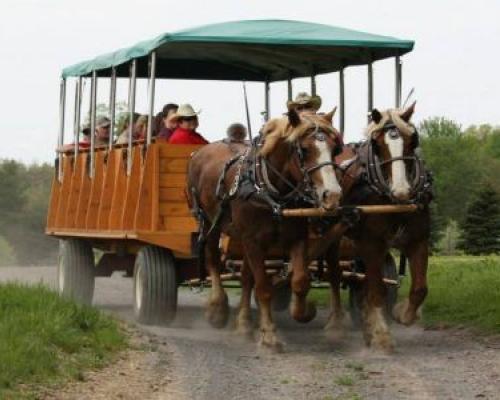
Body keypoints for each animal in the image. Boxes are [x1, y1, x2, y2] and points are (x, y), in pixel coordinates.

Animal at [188, 107, 344, 350]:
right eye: (304, 150)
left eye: (335, 148)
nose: (333, 195)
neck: (270, 193)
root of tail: (200, 152)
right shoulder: (253, 241)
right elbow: (263, 288)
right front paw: (269, 334)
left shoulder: (297, 237)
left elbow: (300, 280)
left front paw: (303, 311)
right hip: (208, 223)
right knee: (213, 259)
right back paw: (217, 309)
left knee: (245, 277)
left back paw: (244, 324)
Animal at [334, 102, 432, 350]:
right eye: (377, 145)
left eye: (413, 140)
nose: (401, 191)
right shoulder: (371, 243)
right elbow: (377, 289)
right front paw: (380, 334)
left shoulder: (418, 240)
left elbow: (419, 288)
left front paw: (403, 314)